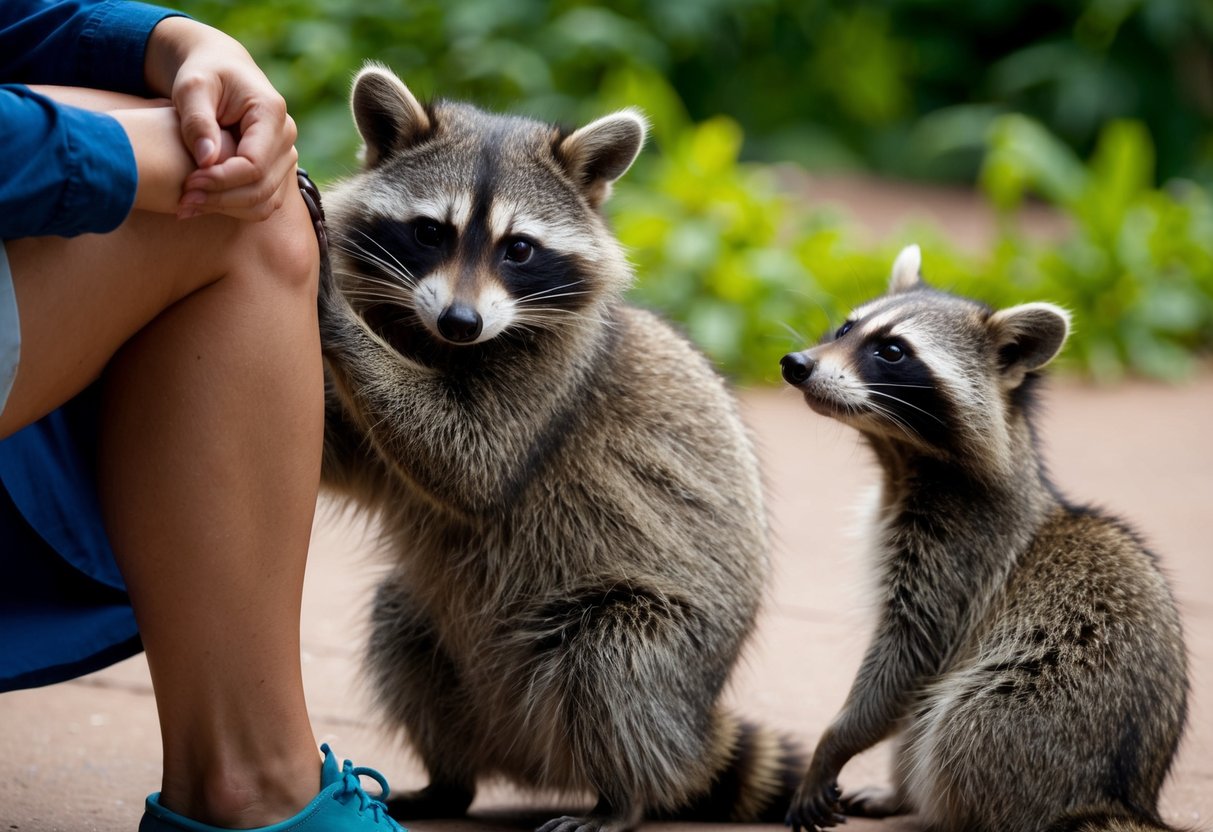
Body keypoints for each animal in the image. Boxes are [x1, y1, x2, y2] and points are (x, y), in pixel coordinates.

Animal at [315, 65, 802, 832]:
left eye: (519, 248)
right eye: (429, 232)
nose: (460, 321)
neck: (436, 342)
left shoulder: (555, 383)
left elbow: (468, 461)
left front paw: (333, 312)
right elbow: (360, 461)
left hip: (659, 642)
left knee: (609, 656)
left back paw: (623, 796)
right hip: (446, 646)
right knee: (400, 627)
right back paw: (448, 780)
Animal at [779, 246, 1189, 832]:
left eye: (892, 351)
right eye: (845, 328)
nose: (797, 364)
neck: (901, 461)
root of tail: (1116, 798)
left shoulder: (959, 553)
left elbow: (908, 661)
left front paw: (835, 742)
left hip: (1031, 714)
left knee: (960, 722)